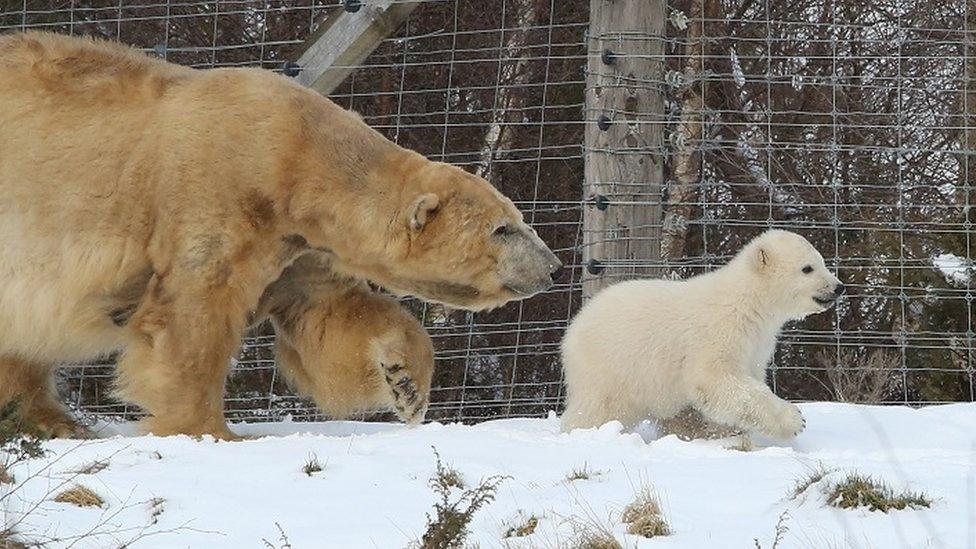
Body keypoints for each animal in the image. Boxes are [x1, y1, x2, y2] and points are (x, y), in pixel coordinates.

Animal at [0, 33, 560, 436]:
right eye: (503, 228)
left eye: (517, 217)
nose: (553, 266)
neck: (292, 156)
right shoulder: (216, 193)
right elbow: (193, 313)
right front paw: (208, 432)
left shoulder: (296, 243)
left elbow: (331, 316)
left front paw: (406, 385)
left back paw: (54, 421)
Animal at [560, 229, 844, 438]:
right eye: (807, 268)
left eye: (821, 261)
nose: (838, 287)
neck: (749, 302)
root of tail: (572, 329)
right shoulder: (720, 332)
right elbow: (716, 379)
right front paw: (794, 420)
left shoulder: (757, 343)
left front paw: (725, 431)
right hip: (613, 367)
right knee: (599, 408)